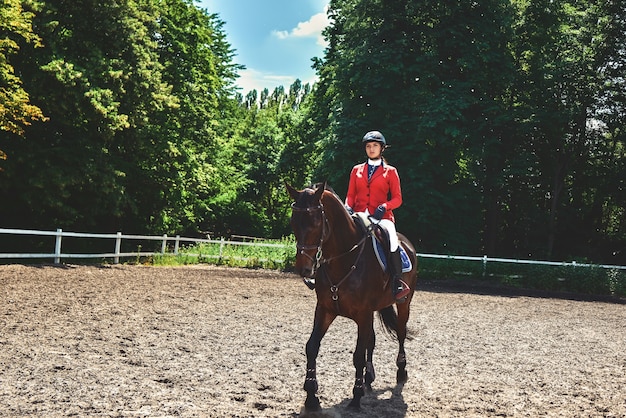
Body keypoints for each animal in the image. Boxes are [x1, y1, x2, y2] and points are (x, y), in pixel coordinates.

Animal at [286, 181, 414, 410]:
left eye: (316, 223)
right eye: (294, 223)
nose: (304, 269)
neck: (344, 258)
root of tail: (406, 243)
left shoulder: (363, 314)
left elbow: (358, 356)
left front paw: (356, 397)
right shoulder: (325, 310)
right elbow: (312, 347)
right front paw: (311, 396)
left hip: (404, 303)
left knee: (400, 333)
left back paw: (401, 371)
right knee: (372, 340)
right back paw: (369, 377)